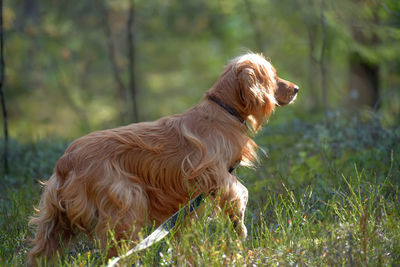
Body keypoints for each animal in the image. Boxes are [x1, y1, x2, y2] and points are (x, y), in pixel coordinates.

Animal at [28, 52, 298, 266]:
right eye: (273, 76)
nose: (296, 89)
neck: (223, 111)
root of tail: (66, 162)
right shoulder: (215, 175)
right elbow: (240, 194)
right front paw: (239, 230)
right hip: (127, 203)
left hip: (54, 221)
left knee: (40, 251)